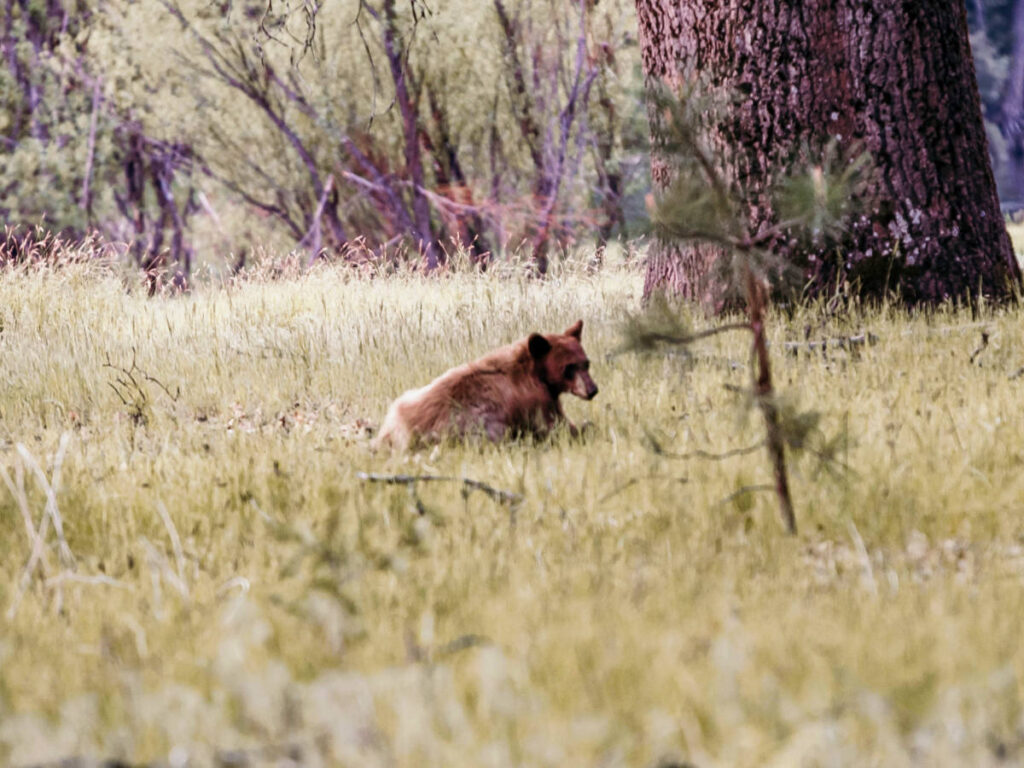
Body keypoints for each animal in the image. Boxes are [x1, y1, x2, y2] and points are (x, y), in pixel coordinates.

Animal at [374, 320, 598, 450]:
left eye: (586, 363)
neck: (536, 372)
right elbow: (554, 425)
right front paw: (584, 428)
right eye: (569, 368)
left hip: (404, 400)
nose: (592, 390)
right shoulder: (536, 400)